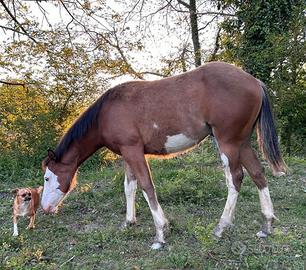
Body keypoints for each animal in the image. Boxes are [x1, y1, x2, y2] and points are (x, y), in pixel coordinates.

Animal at [41, 61, 286, 249]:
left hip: (228, 143)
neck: (106, 113)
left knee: (235, 178)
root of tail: (254, 81)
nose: (44, 208)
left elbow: (147, 187)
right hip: (241, 143)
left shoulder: (134, 152)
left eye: (47, 178)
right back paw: (266, 225)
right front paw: (128, 222)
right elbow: (129, 187)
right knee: (258, 174)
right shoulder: (127, 154)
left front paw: (160, 234)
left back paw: (221, 227)